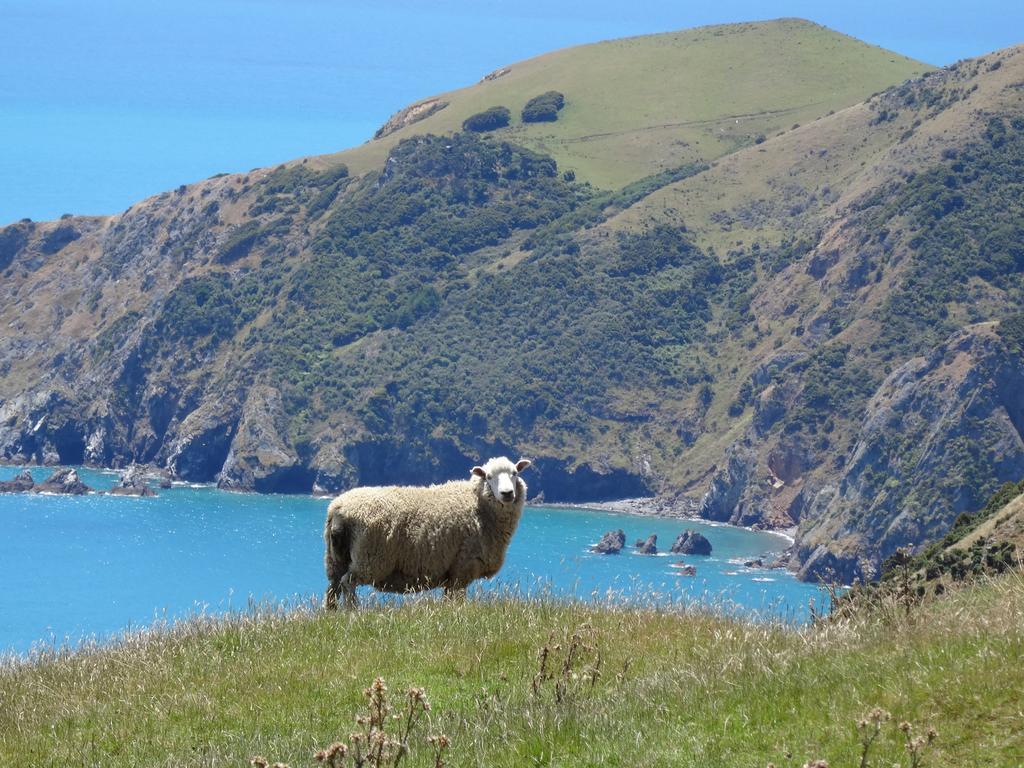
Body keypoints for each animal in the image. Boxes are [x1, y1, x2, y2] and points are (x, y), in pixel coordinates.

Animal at [323, 454, 532, 610]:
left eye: (514, 473)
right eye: (488, 476)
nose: (507, 493)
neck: (478, 504)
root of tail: (338, 508)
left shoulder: (452, 572)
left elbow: (449, 599)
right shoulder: (463, 566)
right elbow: (457, 600)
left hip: (336, 557)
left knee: (334, 587)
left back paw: (332, 613)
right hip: (370, 557)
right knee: (347, 583)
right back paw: (353, 612)